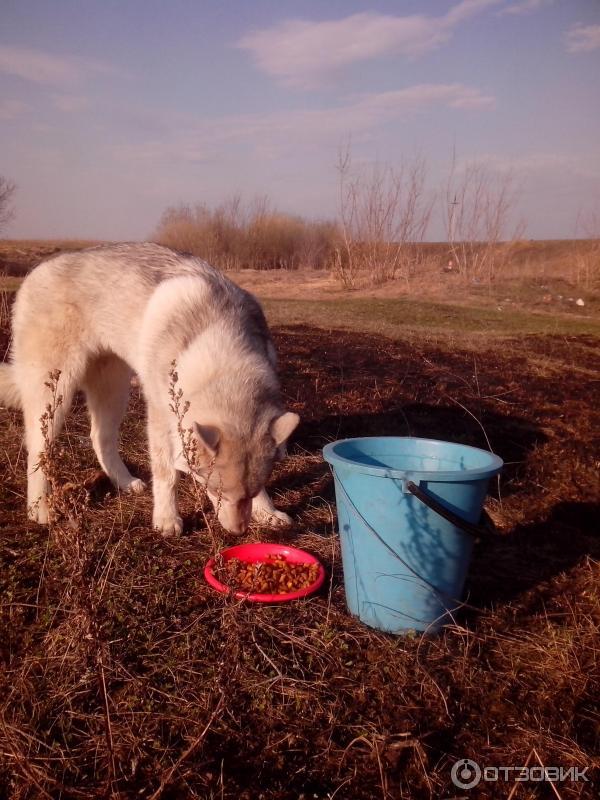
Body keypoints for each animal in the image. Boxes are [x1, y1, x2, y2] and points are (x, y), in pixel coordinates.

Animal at [0, 241, 300, 536]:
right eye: (216, 491)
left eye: (249, 494)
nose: (238, 533)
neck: (225, 363)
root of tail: (36, 271)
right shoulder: (160, 420)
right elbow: (166, 475)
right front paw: (167, 519)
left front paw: (267, 512)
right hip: (55, 397)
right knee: (38, 449)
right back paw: (40, 510)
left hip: (113, 391)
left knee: (100, 438)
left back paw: (124, 482)